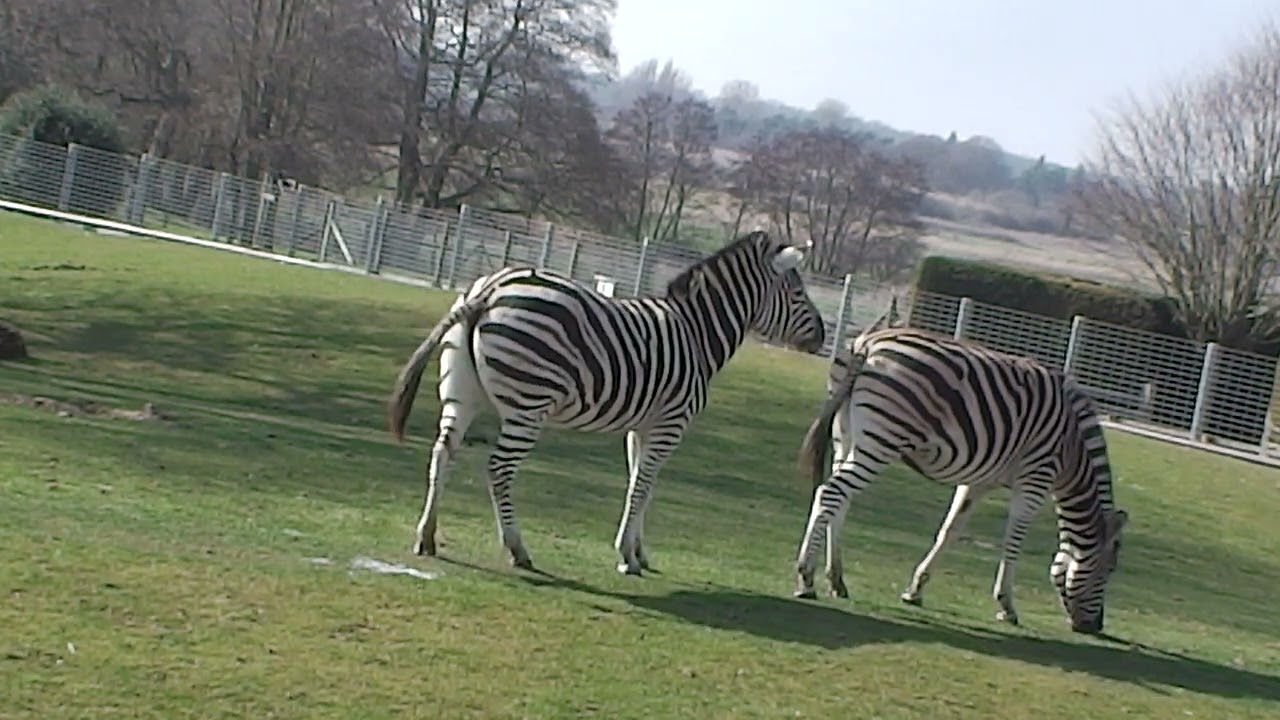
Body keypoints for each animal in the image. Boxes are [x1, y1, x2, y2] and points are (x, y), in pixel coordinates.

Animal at [387, 231, 826, 575]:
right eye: (798, 292)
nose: (822, 337)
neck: (698, 334)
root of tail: (490, 287)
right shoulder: (671, 425)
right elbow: (641, 487)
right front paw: (627, 558)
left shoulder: (643, 427)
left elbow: (641, 484)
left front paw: (639, 552)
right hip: (528, 403)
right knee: (498, 469)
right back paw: (517, 549)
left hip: (461, 392)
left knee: (443, 453)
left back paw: (426, 536)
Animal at [792, 326, 1128, 634]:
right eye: (1108, 570)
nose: (1094, 627)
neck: (1073, 450)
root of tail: (869, 342)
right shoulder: (1036, 478)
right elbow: (1013, 541)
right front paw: (1007, 606)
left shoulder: (978, 481)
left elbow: (950, 530)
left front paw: (915, 590)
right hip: (882, 439)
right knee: (830, 493)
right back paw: (806, 578)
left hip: (846, 435)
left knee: (840, 500)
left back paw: (836, 580)